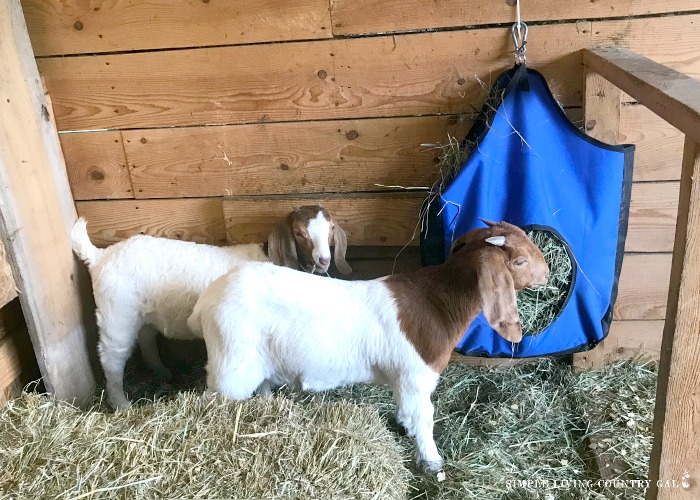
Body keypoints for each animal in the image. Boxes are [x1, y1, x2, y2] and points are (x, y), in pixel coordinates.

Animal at [71, 205, 350, 408]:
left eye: (331, 229)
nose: (324, 260)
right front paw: (266, 398)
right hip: (116, 313)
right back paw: (121, 404)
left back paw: (162, 373)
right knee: (112, 357)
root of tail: (100, 256)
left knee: (147, 338)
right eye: (300, 233)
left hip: (142, 312)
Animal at [189, 222, 548, 472]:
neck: (436, 303)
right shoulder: (416, 378)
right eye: (519, 261)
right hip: (230, 365)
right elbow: (422, 419)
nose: (546, 273)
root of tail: (205, 302)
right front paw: (433, 462)